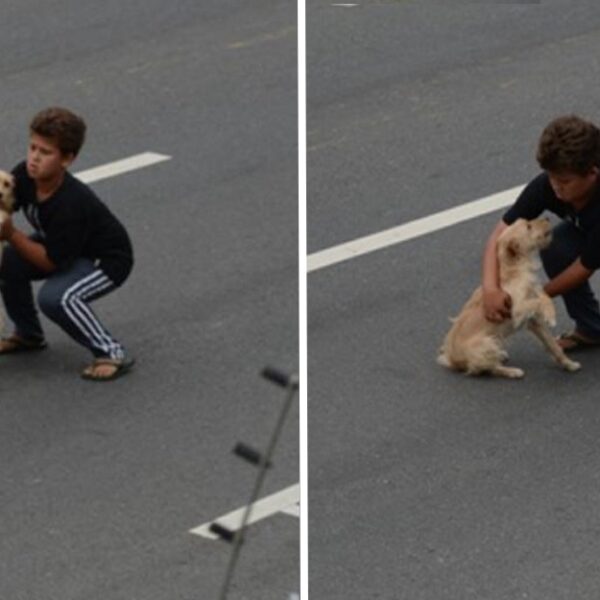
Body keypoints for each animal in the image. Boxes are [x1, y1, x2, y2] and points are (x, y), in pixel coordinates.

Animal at [436, 218, 580, 378]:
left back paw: (502, 356)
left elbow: (553, 345)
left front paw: (569, 364)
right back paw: (512, 371)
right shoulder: (515, 309)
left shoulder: (534, 322)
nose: (547, 218)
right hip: (486, 342)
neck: (515, 270)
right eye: (528, 226)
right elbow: (540, 300)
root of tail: (451, 360)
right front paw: (550, 314)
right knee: (488, 368)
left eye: (527, 221)